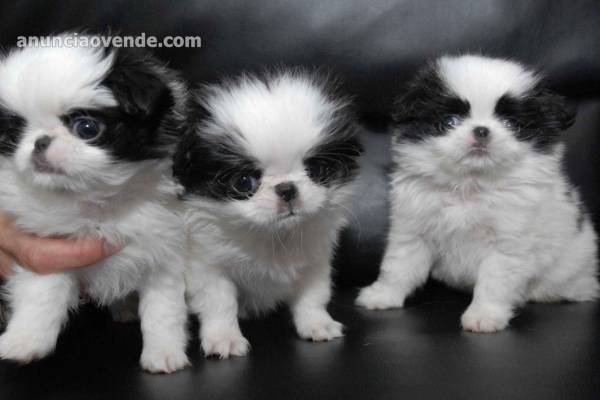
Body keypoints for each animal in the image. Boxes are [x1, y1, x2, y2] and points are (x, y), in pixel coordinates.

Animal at [0, 38, 190, 372]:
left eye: (87, 128)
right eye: (16, 133)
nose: (39, 141)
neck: (95, 201)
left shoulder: (163, 254)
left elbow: (163, 311)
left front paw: (164, 353)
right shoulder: (49, 250)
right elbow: (42, 295)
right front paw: (24, 340)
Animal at [171, 70, 364, 358]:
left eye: (317, 170)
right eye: (244, 182)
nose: (287, 189)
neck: (272, 236)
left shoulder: (314, 263)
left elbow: (313, 296)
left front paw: (317, 324)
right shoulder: (208, 267)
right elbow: (220, 303)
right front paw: (224, 338)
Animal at [358, 54, 596, 332]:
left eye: (510, 123)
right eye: (449, 122)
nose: (482, 130)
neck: (471, 186)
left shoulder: (507, 246)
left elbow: (493, 283)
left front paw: (484, 316)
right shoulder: (413, 231)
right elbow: (398, 267)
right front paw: (382, 295)